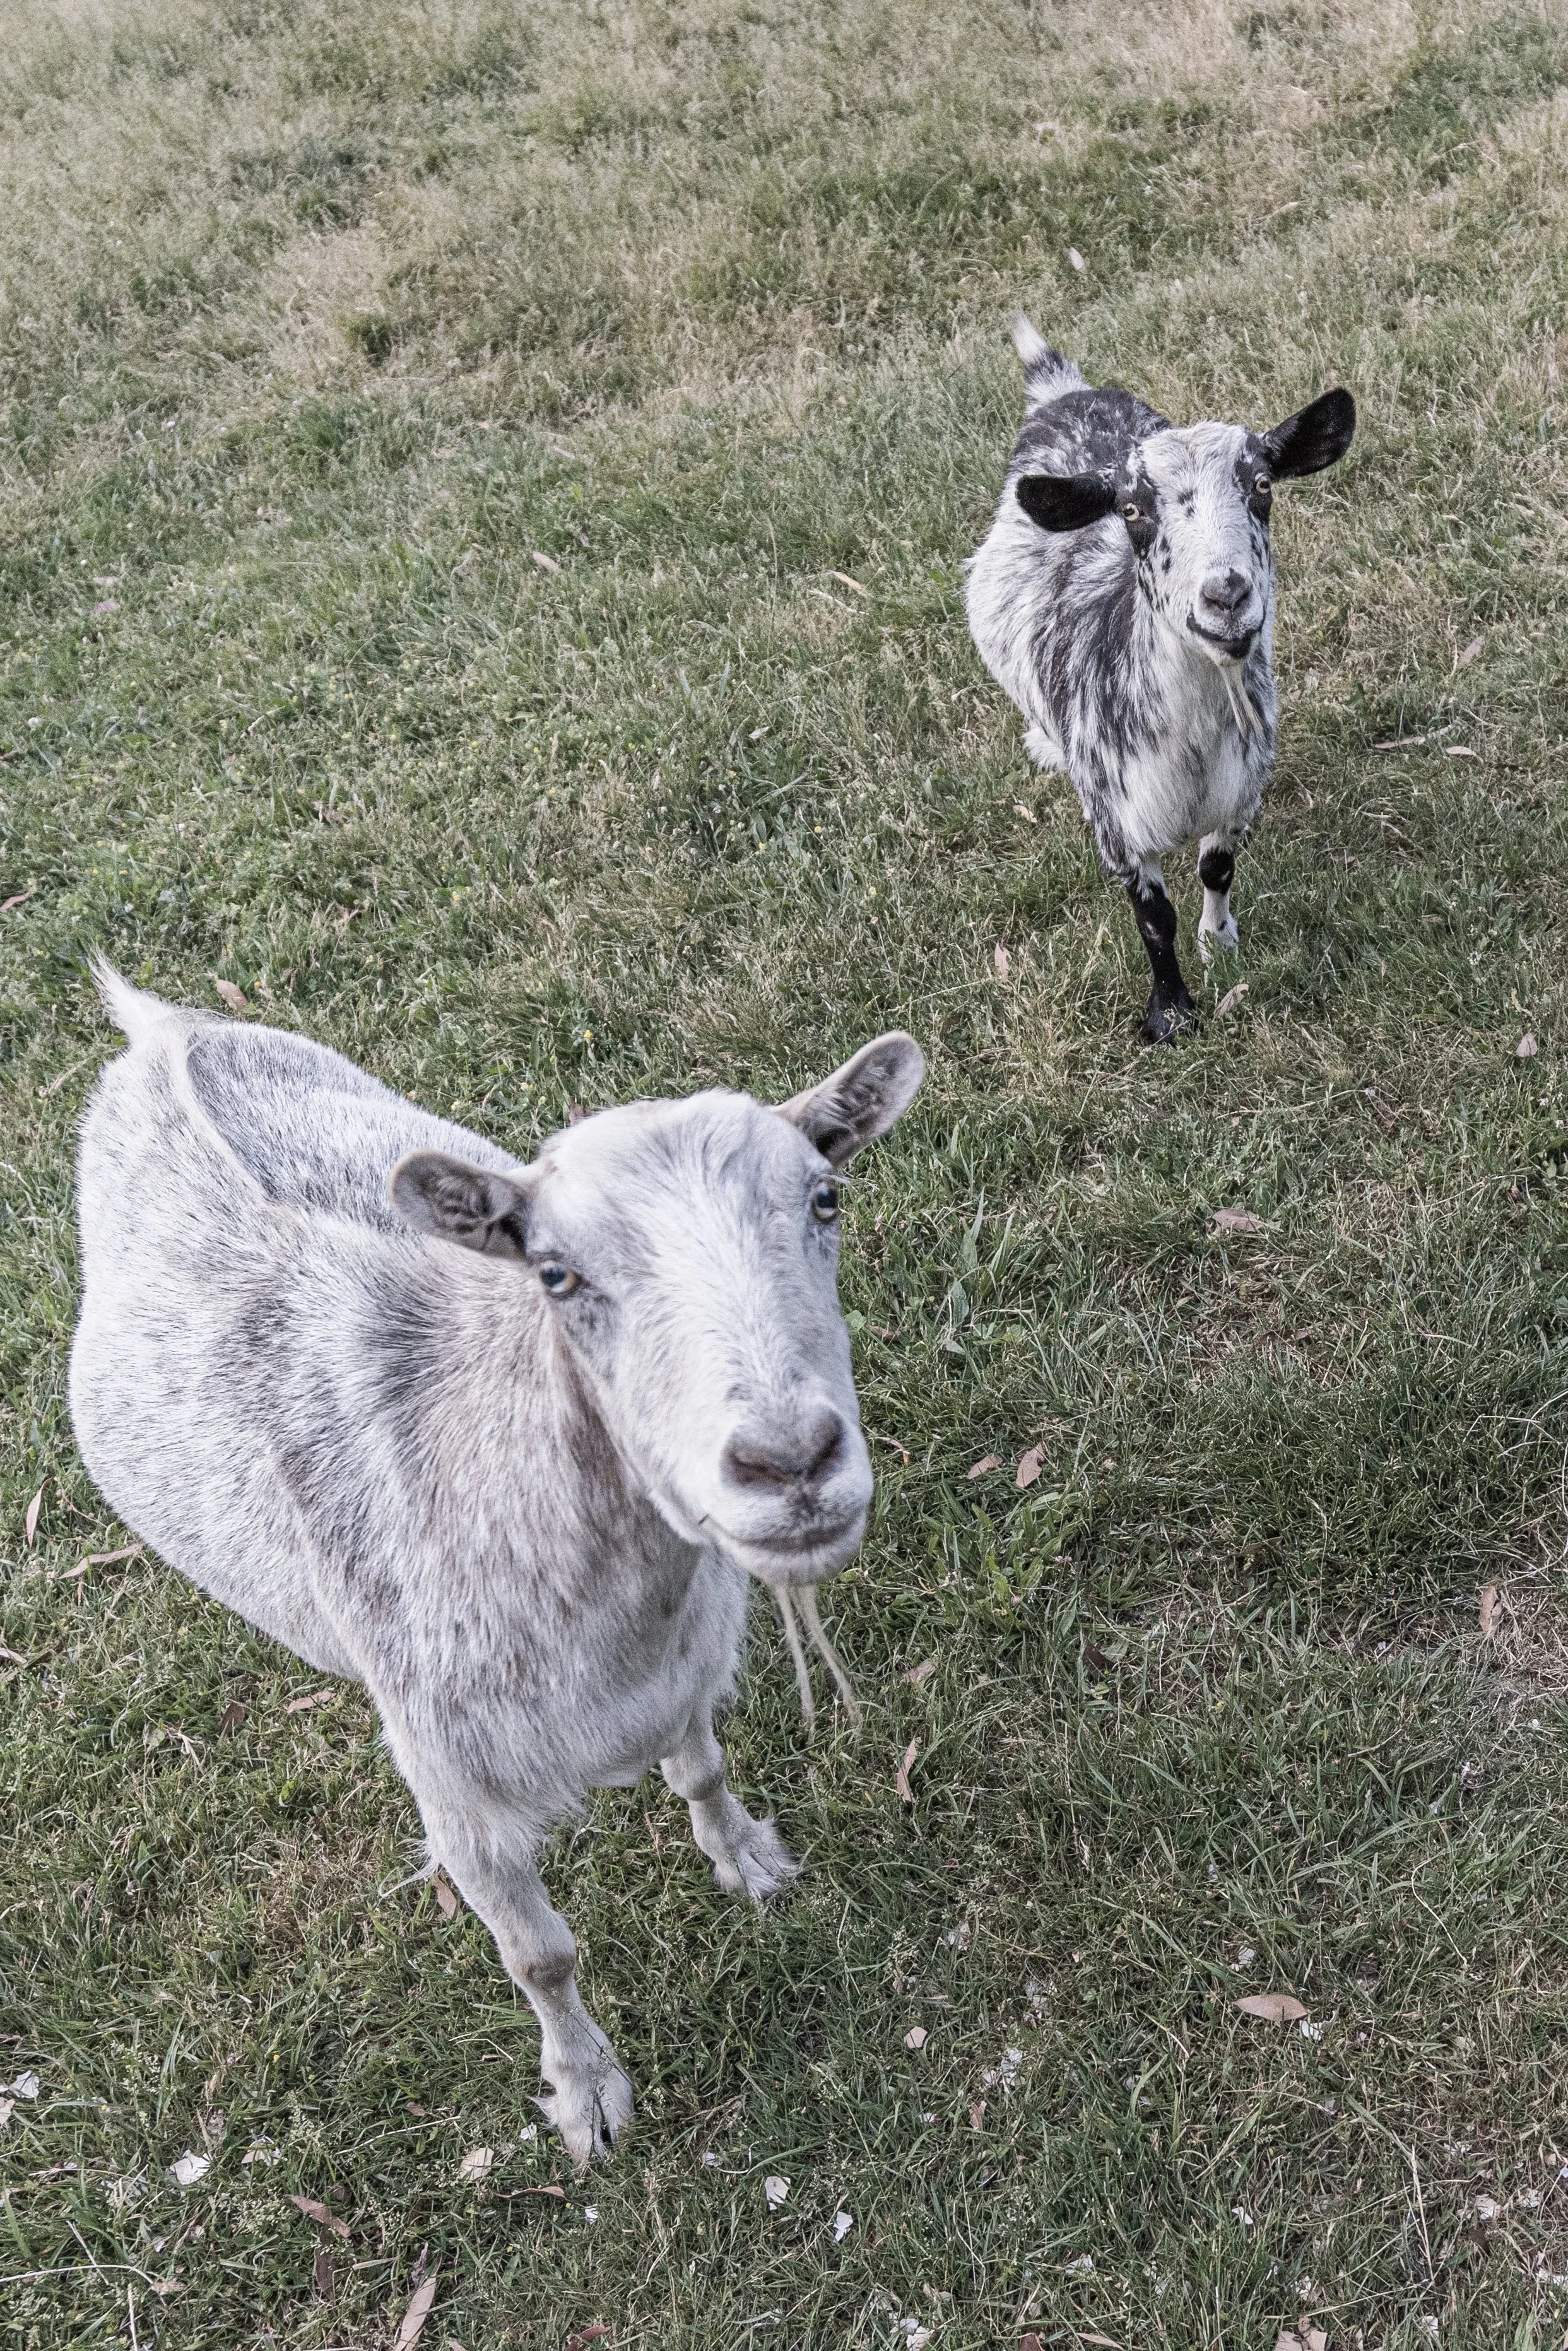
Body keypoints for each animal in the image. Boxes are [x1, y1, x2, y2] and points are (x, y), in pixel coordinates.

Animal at [68, 964, 925, 2162]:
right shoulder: (454, 1788)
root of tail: (154, 1032)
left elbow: (703, 1771)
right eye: (555, 1272)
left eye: (826, 1199)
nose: (789, 1461)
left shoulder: (682, 1671)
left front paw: (748, 1860)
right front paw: (587, 2096)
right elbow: (539, 1954)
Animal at [966, 319, 1355, 1041]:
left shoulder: (1242, 792)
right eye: (1130, 509)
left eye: (1262, 485)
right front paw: (1171, 1015)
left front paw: (1219, 942)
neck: (1192, 746)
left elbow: (1215, 867)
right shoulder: (1115, 821)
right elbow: (1152, 918)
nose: (1226, 596)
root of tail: (1066, 393)